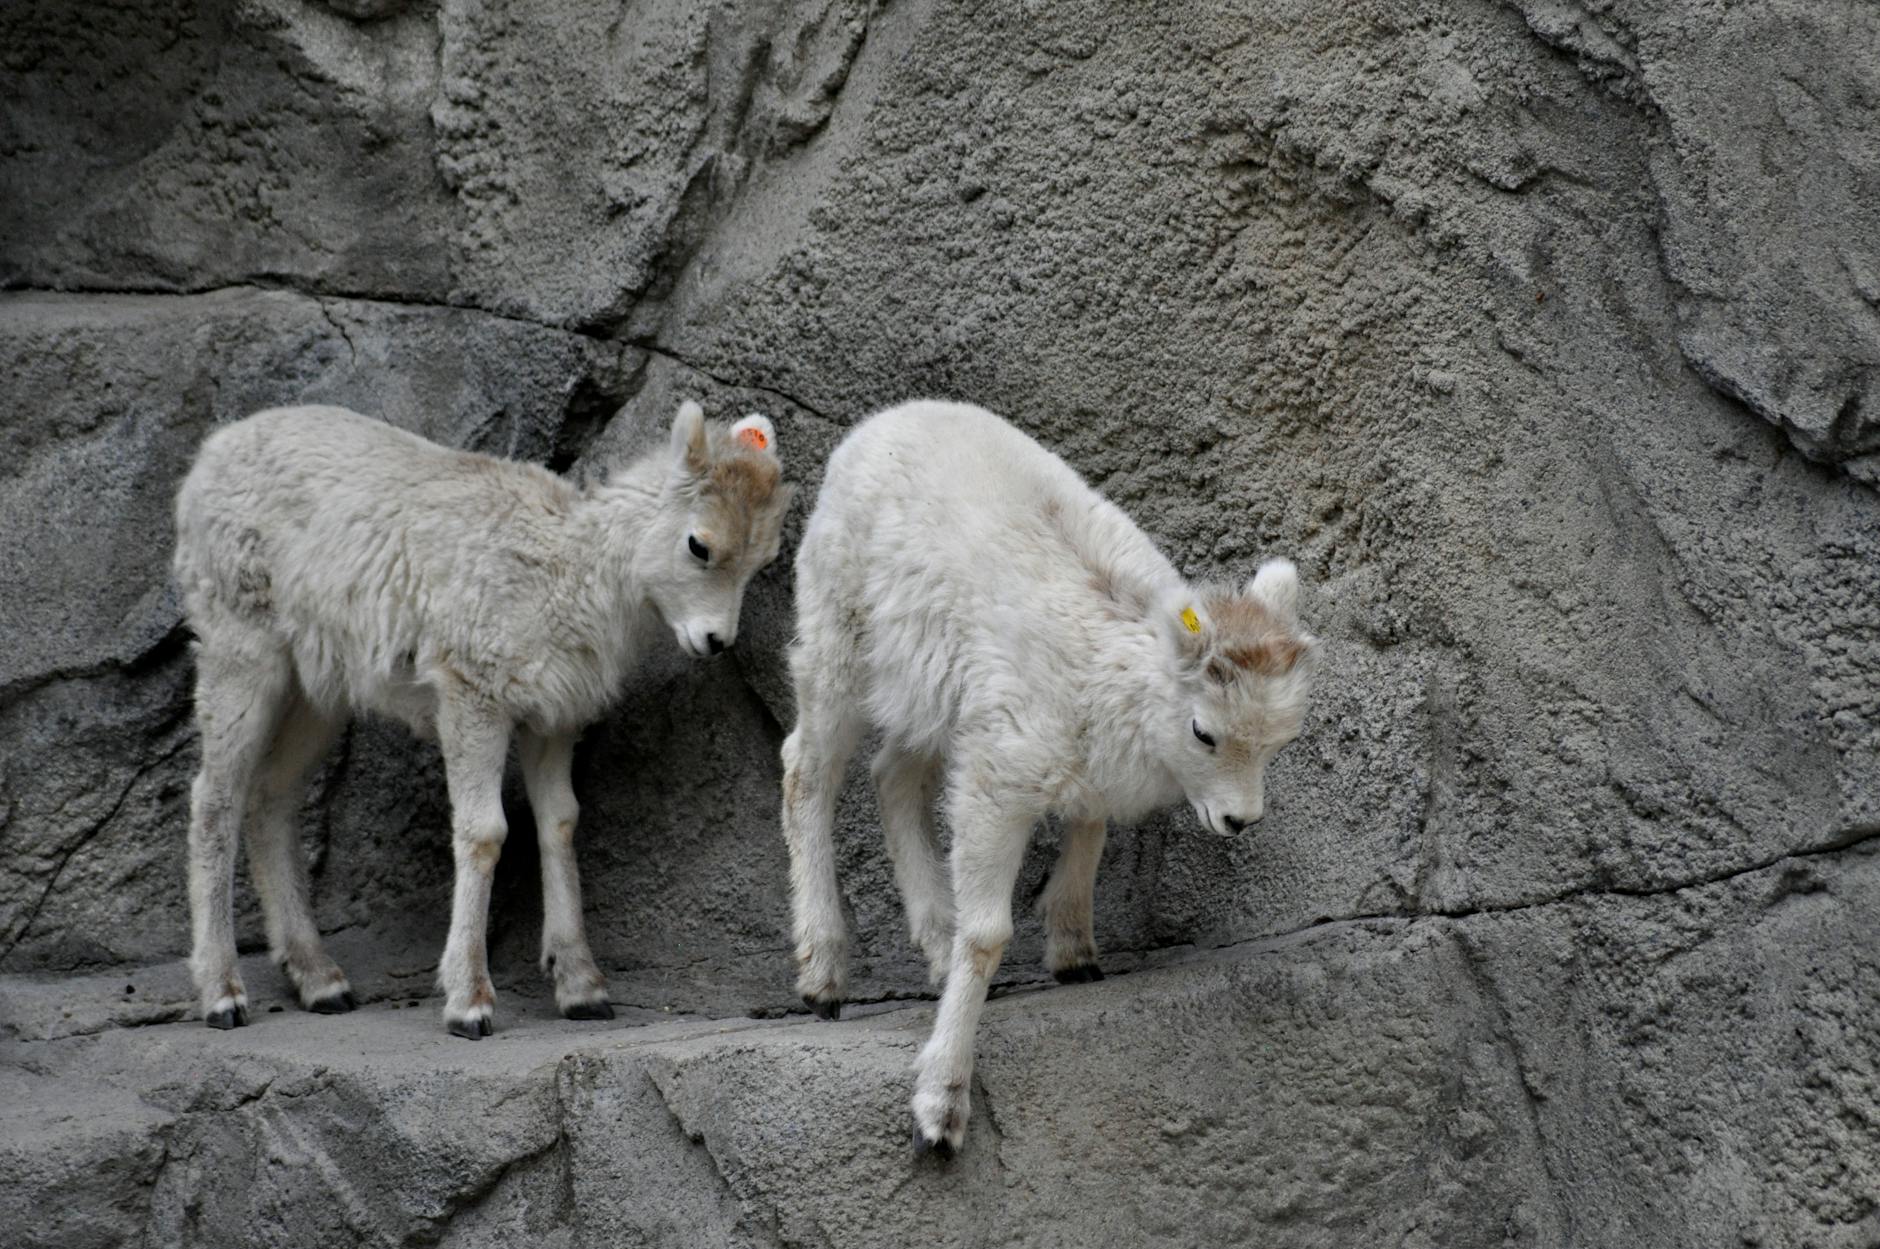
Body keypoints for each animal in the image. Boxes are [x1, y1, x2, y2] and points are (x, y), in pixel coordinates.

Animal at [172, 400, 792, 1037]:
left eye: (762, 559)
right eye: (699, 545)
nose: (715, 640)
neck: (569, 579)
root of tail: (210, 456)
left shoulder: (552, 721)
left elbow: (560, 824)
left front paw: (583, 991)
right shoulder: (472, 699)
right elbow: (484, 832)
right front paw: (469, 1002)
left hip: (317, 691)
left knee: (269, 798)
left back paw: (322, 983)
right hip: (240, 648)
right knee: (214, 798)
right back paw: (223, 997)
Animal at [779, 400, 1316, 1154]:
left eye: (1278, 741)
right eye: (1204, 731)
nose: (1239, 819)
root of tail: (876, 427)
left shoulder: (1058, 767)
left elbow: (1087, 832)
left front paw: (1075, 956)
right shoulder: (996, 780)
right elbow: (989, 934)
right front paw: (940, 1111)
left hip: (930, 700)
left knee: (892, 778)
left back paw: (933, 947)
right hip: (837, 644)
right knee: (808, 770)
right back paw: (824, 978)